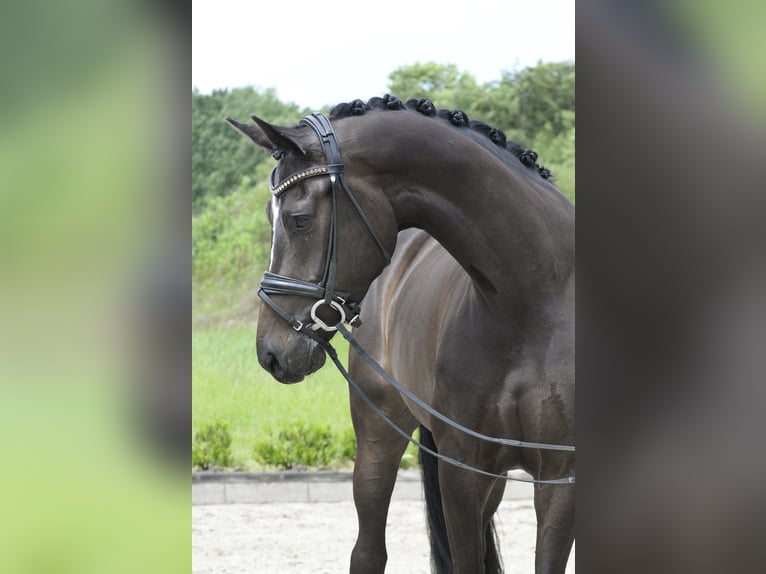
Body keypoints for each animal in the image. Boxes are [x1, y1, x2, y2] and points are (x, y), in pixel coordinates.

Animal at [227, 95, 575, 573]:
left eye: (298, 220)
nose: (271, 352)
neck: (536, 299)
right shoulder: (460, 468)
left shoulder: (560, 477)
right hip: (379, 434)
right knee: (369, 550)